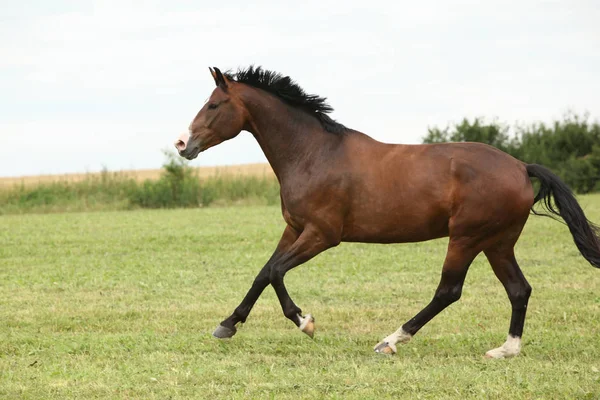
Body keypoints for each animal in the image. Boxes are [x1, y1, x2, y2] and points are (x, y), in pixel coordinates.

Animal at [173, 66, 600, 360]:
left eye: (213, 104)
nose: (181, 144)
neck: (312, 154)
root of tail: (521, 167)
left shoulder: (322, 235)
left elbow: (277, 271)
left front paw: (305, 322)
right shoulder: (294, 229)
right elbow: (263, 272)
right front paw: (227, 326)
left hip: (467, 238)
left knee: (449, 291)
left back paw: (390, 341)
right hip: (498, 242)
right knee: (518, 289)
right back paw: (505, 350)